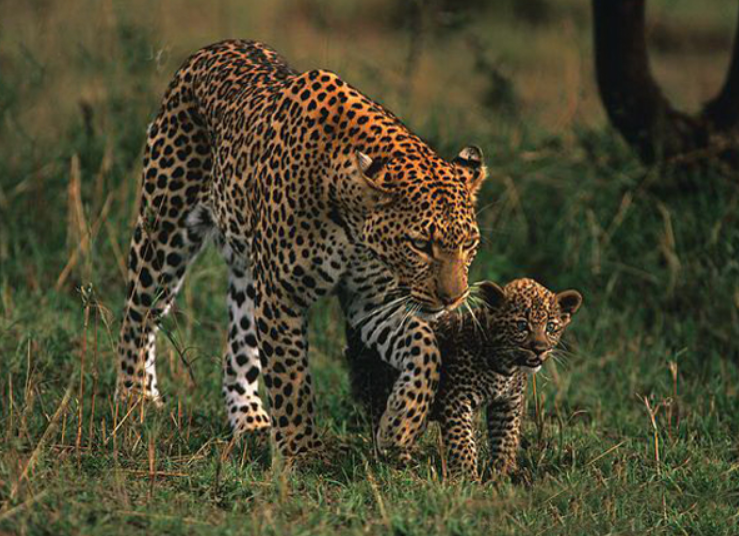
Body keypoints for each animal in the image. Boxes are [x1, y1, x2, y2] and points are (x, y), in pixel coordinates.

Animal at [115, 39, 488, 462]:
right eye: (420, 245)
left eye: (469, 244)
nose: (453, 298)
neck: (354, 224)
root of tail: (213, 47)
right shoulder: (282, 294)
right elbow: (291, 378)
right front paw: (301, 450)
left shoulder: (371, 301)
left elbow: (427, 350)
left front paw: (400, 425)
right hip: (164, 228)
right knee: (139, 314)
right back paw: (136, 398)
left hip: (248, 276)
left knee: (238, 351)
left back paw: (251, 422)